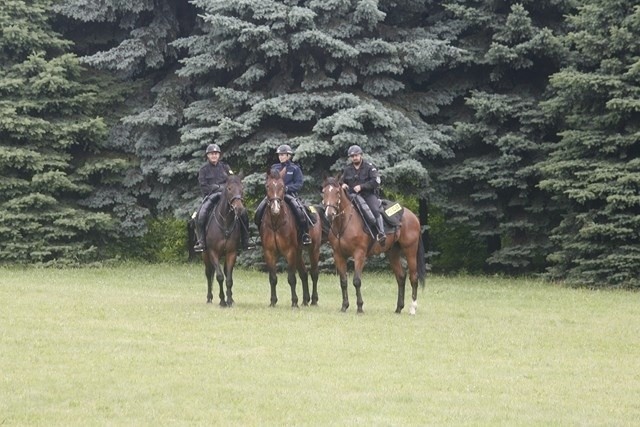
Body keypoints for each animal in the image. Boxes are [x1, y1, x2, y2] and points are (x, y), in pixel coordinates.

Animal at [204, 175, 246, 308]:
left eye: (242, 188)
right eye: (229, 188)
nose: (239, 208)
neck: (225, 222)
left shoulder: (231, 253)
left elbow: (229, 279)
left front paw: (229, 301)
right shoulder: (213, 253)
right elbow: (219, 276)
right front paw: (222, 300)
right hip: (205, 255)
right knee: (209, 274)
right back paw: (209, 298)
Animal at [258, 170, 322, 308]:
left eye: (282, 186)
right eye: (267, 186)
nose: (275, 209)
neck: (276, 223)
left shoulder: (290, 252)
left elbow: (291, 278)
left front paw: (294, 302)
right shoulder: (269, 253)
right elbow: (273, 278)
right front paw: (273, 302)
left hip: (313, 250)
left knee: (314, 273)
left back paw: (314, 300)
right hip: (298, 253)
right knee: (304, 273)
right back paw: (305, 300)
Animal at [318, 177, 424, 314]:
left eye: (337, 192)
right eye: (324, 192)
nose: (329, 213)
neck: (344, 223)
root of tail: (413, 217)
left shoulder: (359, 254)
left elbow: (356, 281)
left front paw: (359, 307)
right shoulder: (338, 255)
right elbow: (343, 282)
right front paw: (344, 306)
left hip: (410, 250)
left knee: (413, 277)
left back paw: (412, 308)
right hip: (393, 253)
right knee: (401, 277)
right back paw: (399, 308)